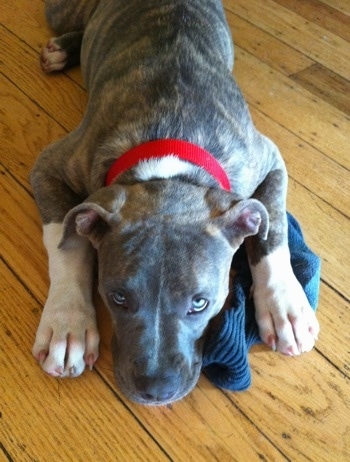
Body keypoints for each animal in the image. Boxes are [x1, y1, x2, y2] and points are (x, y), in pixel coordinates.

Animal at [31, 0, 318, 404]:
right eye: (117, 297)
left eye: (200, 303)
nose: (155, 389)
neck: (169, 167)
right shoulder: (50, 166)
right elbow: (68, 244)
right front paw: (67, 324)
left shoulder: (270, 160)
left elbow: (272, 231)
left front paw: (285, 306)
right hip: (60, 13)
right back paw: (61, 48)